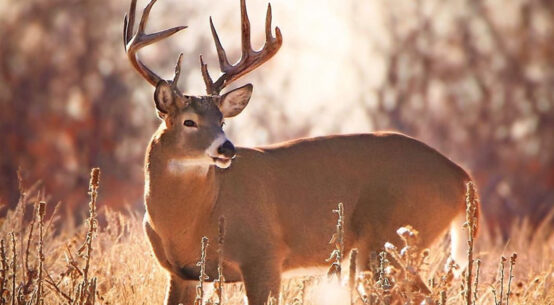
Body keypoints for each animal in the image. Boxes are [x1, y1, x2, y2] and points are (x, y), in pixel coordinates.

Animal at [123, 0, 476, 304]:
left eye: (222, 120)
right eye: (189, 121)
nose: (227, 147)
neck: (191, 220)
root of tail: (461, 176)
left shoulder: (264, 254)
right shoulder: (179, 272)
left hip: (395, 238)